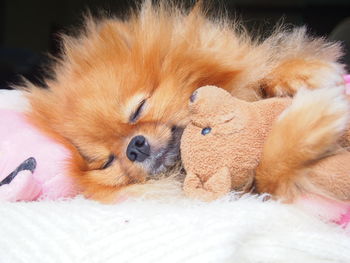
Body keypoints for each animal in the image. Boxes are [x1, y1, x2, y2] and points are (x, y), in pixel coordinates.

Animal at [23, 1, 346, 203]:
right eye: (108, 162)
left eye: (139, 108)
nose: (134, 147)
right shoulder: (252, 190)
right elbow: (270, 167)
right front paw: (313, 123)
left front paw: (303, 73)